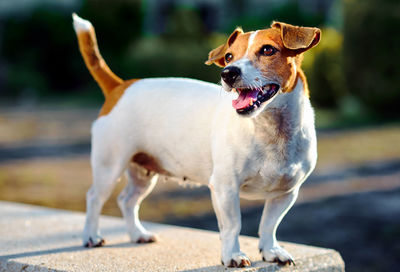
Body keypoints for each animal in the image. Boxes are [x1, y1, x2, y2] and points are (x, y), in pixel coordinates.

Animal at [73, 13, 320, 268]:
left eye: (268, 50)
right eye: (229, 56)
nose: (228, 73)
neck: (268, 130)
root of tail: (120, 86)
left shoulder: (286, 194)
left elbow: (269, 225)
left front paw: (271, 251)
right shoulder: (225, 189)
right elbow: (232, 226)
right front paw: (232, 255)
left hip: (143, 173)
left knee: (127, 200)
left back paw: (137, 234)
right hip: (109, 167)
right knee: (94, 198)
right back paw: (91, 236)